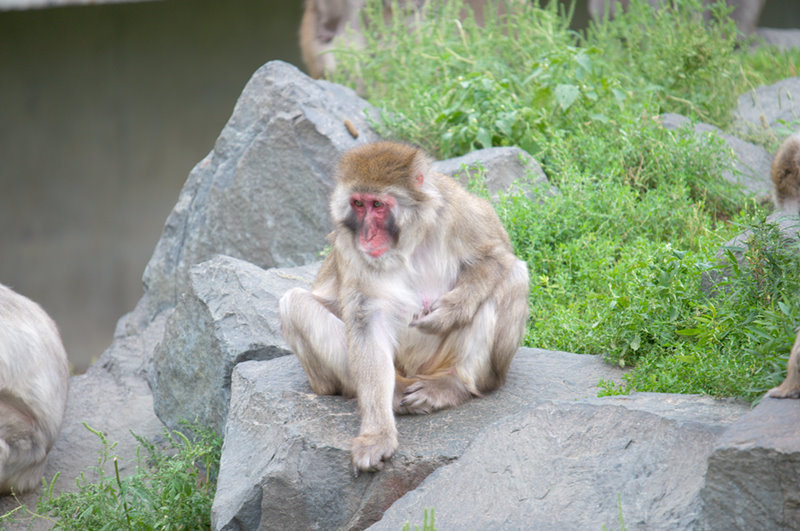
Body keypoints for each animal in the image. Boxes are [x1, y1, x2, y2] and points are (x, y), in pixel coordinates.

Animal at [282, 140, 532, 474]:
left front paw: (448, 313)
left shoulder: (459, 210)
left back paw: (454, 384)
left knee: (513, 276)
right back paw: (397, 391)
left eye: (378, 205)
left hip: (451, 362)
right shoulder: (350, 247)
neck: (407, 242)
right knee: (292, 303)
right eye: (358, 204)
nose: (366, 234)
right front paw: (377, 435)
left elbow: (497, 257)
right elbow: (367, 322)